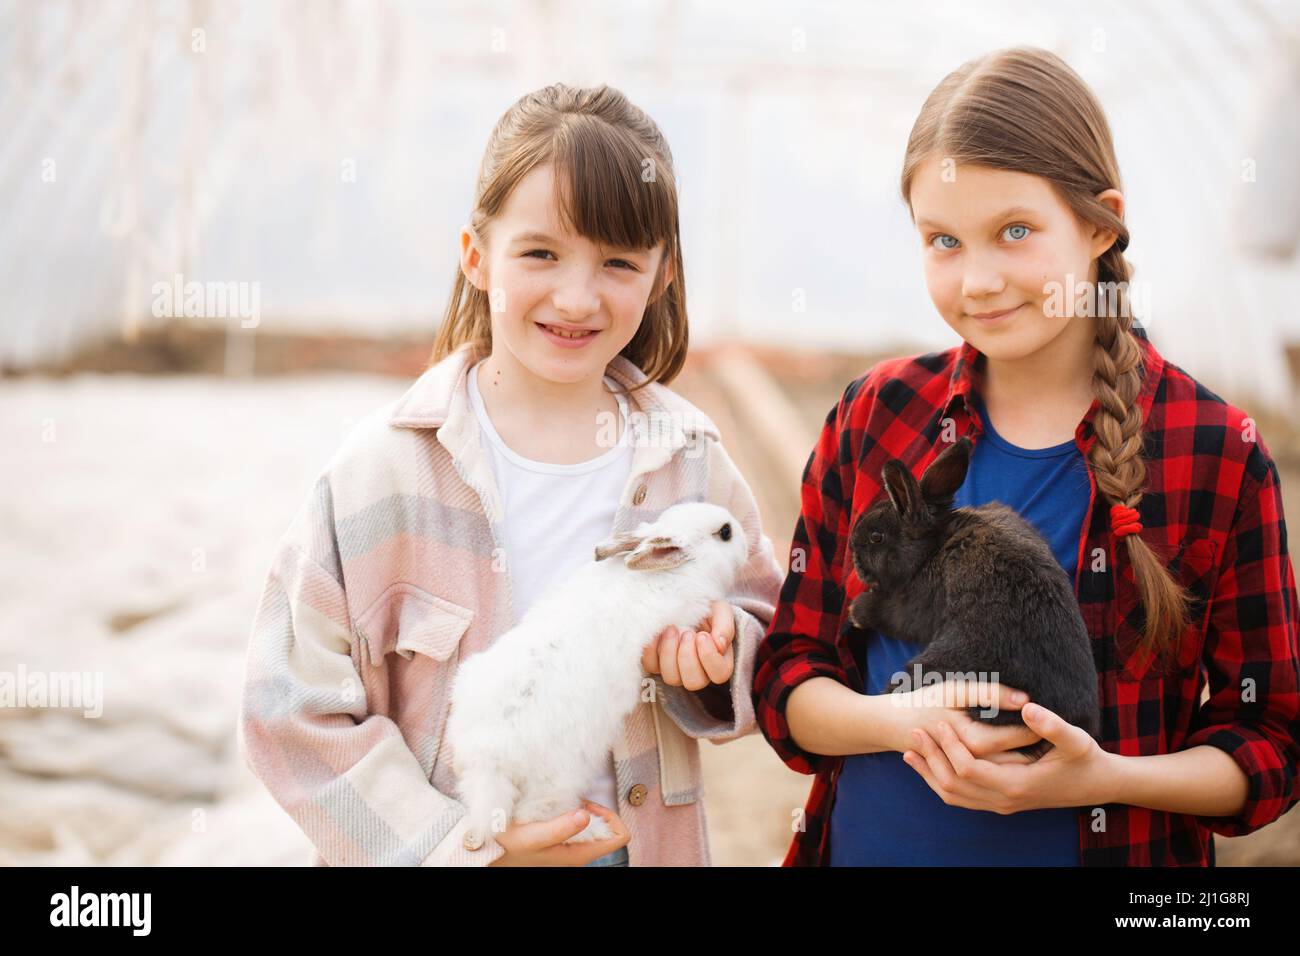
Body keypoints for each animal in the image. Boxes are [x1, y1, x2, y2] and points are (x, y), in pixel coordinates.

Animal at [449, 502, 748, 842]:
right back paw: (593, 829)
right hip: (561, 775)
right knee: (533, 814)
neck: (678, 570)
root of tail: (486, 758)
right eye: (725, 532)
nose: (745, 539)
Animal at [847, 434, 1102, 764]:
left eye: (876, 537)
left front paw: (857, 610)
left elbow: (891, 613)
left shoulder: (912, 606)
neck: (933, 547)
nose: (853, 557)